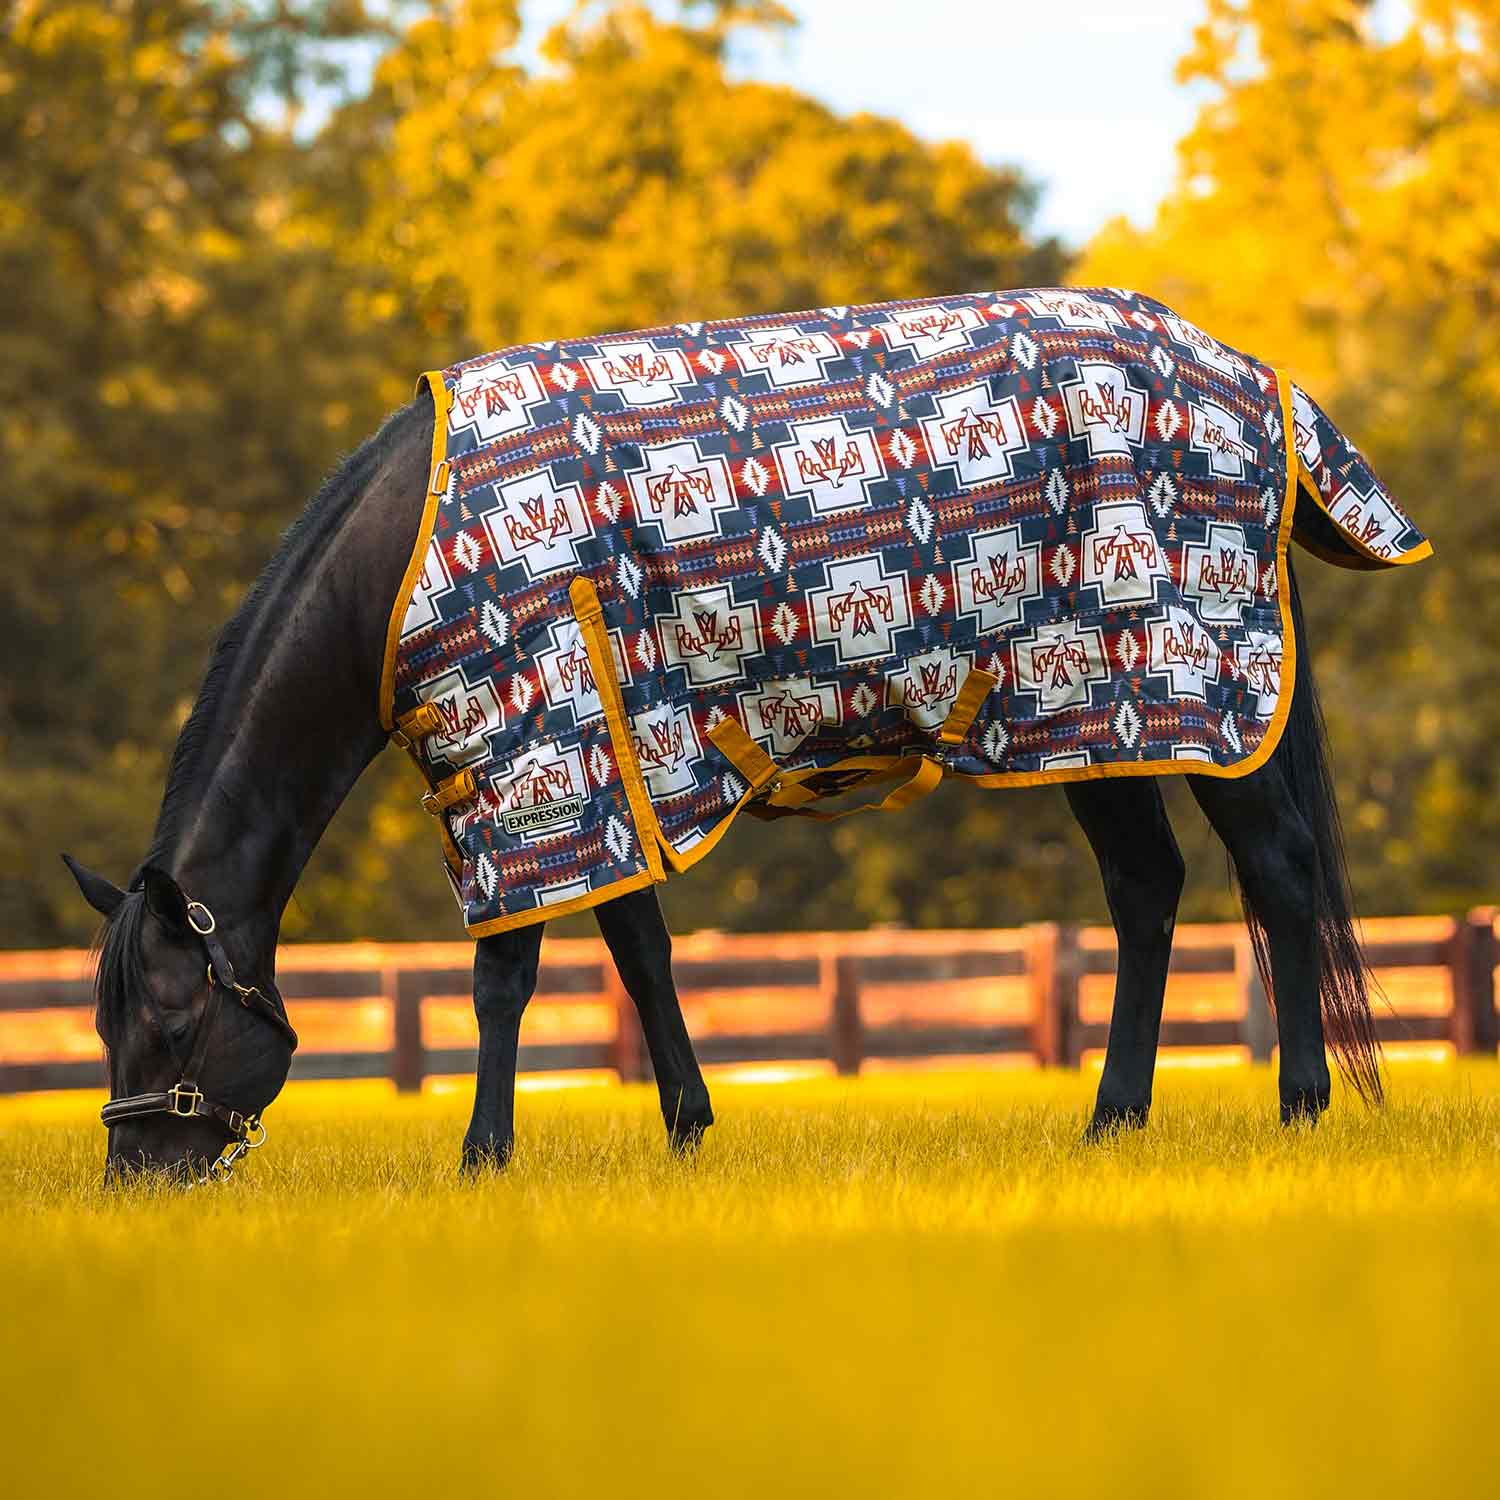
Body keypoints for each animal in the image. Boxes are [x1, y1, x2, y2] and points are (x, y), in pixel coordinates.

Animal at [64, 285, 1428, 1183]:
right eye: (103, 1019)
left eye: (172, 1022)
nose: (141, 1179)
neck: (413, 550)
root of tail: (1245, 375)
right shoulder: (612, 764)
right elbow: (641, 955)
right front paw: (686, 1126)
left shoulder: (534, 764)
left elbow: (506, 978)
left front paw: (482, 1156)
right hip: (1090, 710)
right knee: (1147, 891)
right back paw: (1112, 1120)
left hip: (1197, 686)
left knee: (1279, 873)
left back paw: (1302, 1106)